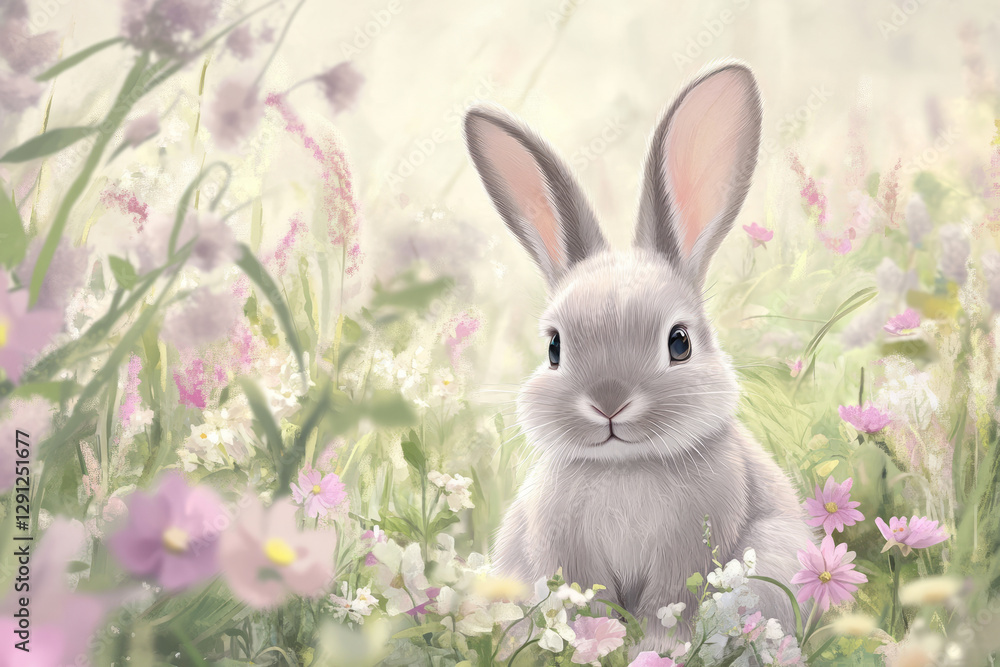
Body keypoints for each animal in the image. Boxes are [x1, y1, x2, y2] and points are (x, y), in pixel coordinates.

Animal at [462, 62, 815, 653]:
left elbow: (670, 605)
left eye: (679, 343)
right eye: (554, 347)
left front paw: (658, 649)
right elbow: (588, 598)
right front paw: (593, 641)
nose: (609, 403)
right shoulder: (564, 548)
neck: (626, 467)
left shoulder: (693, 547)